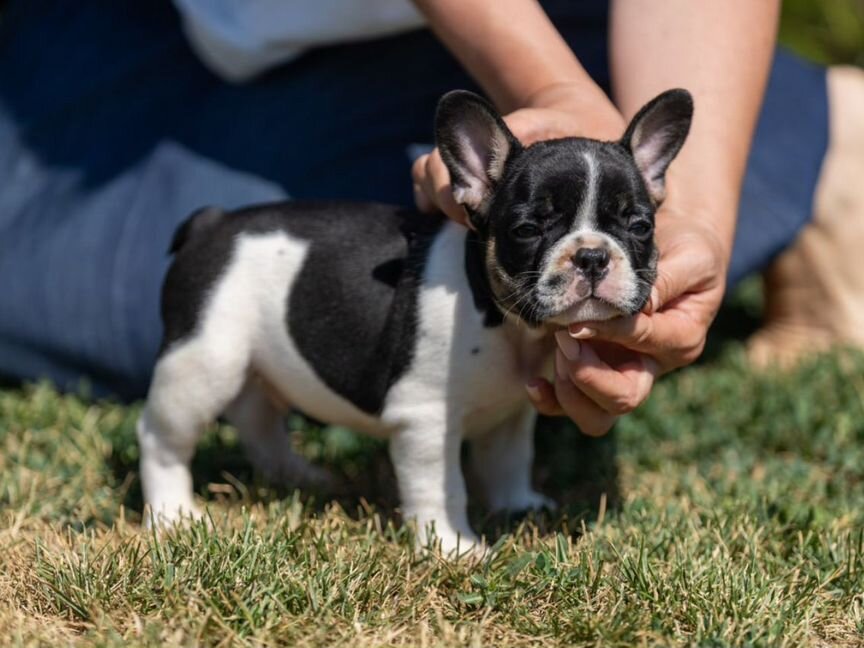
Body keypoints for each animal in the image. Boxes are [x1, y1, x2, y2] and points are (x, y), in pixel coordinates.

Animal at [138, 86, 692, 552]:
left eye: (640, 226)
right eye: (528, 229)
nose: (592, 256)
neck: (501, 319)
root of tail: (211, 224)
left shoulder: (512, 411)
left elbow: (509, 460)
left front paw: (518, 507)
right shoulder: (425, 419)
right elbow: (441, 487)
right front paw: (453, 547)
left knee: (258, 419)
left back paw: (302, 478)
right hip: (204, 360)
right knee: (163, 437)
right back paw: (173, 516)